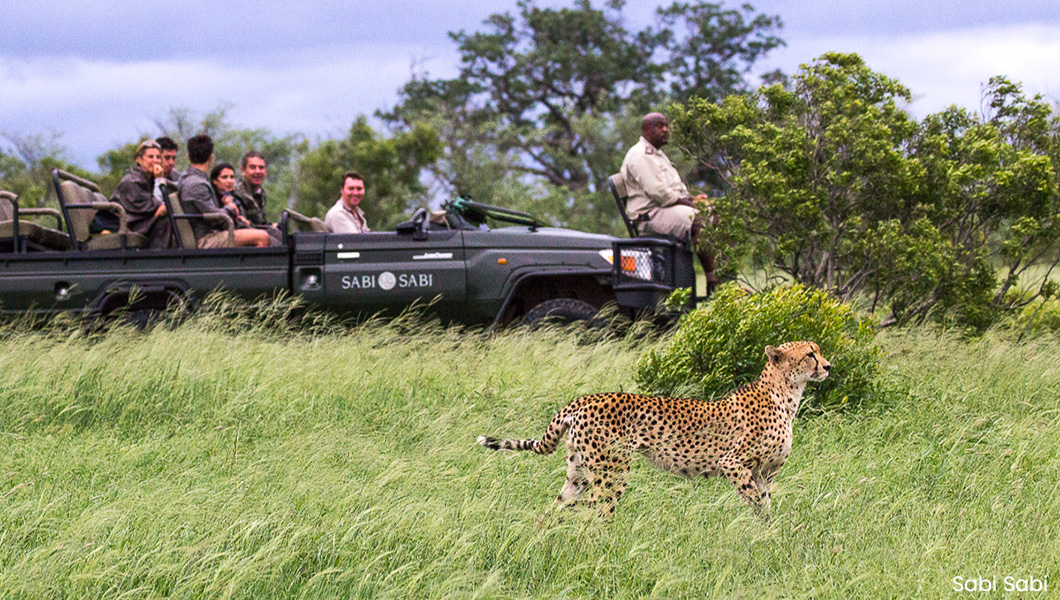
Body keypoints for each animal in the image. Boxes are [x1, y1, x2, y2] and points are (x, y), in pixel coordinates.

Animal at [476, 341, 831, 519]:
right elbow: (757, 503)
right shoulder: (733, 463)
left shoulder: (765, 473)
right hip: (612, 471)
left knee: (557, 507)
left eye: (818, 351)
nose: (828, 366)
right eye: (809, 354)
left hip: (579, 472)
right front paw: (766, 532)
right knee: (596, 512)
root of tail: (584, 398)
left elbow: (764, 503)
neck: (786, 393)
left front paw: (767, 536)